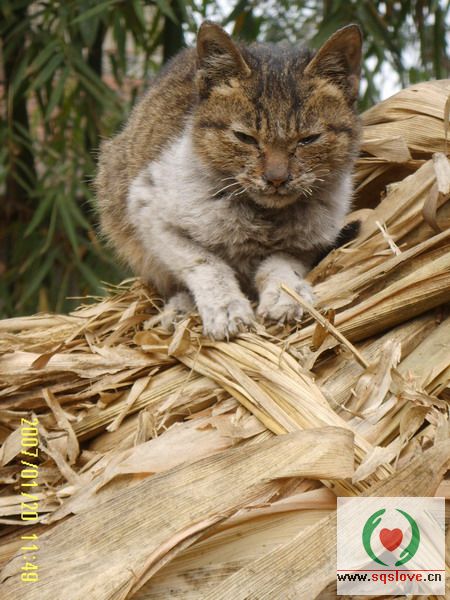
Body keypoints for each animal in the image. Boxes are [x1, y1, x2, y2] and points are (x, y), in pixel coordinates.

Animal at [95, 21, 362, 340]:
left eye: (308, 140)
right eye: (245, 137)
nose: (276, 179)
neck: (264, 218)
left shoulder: (310, 244)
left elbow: (279, 266)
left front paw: (286, 296)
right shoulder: (149, 213)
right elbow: (206, 264)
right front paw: (226, 309)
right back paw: (178, 311)